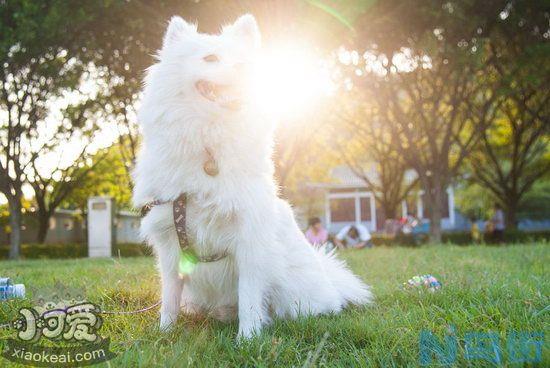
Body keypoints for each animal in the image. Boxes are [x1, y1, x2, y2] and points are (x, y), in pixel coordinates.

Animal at [134, 14, 376, 338]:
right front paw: (165, 333)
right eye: (210, 58)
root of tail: (329, 280)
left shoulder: (249, 235)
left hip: (295, 294)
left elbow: (249, 296)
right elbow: (169, 296)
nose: (243, 69)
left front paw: (248, 339)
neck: (210, 145)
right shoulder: (171, 238)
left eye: (243, 61)